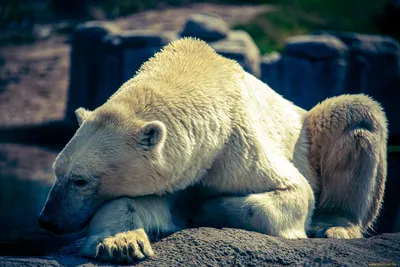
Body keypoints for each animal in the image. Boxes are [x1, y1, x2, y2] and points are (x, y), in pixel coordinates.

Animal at [38, 38, 388, 266]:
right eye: (57, 171)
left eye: (81, 180)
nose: (47, 220)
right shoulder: (180, 168)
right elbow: (142, 204)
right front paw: (121, 243)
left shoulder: (237, 148)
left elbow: (295, 193)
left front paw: (202, 207)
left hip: (309, 130)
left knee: (357, 112)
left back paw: (334, 224)